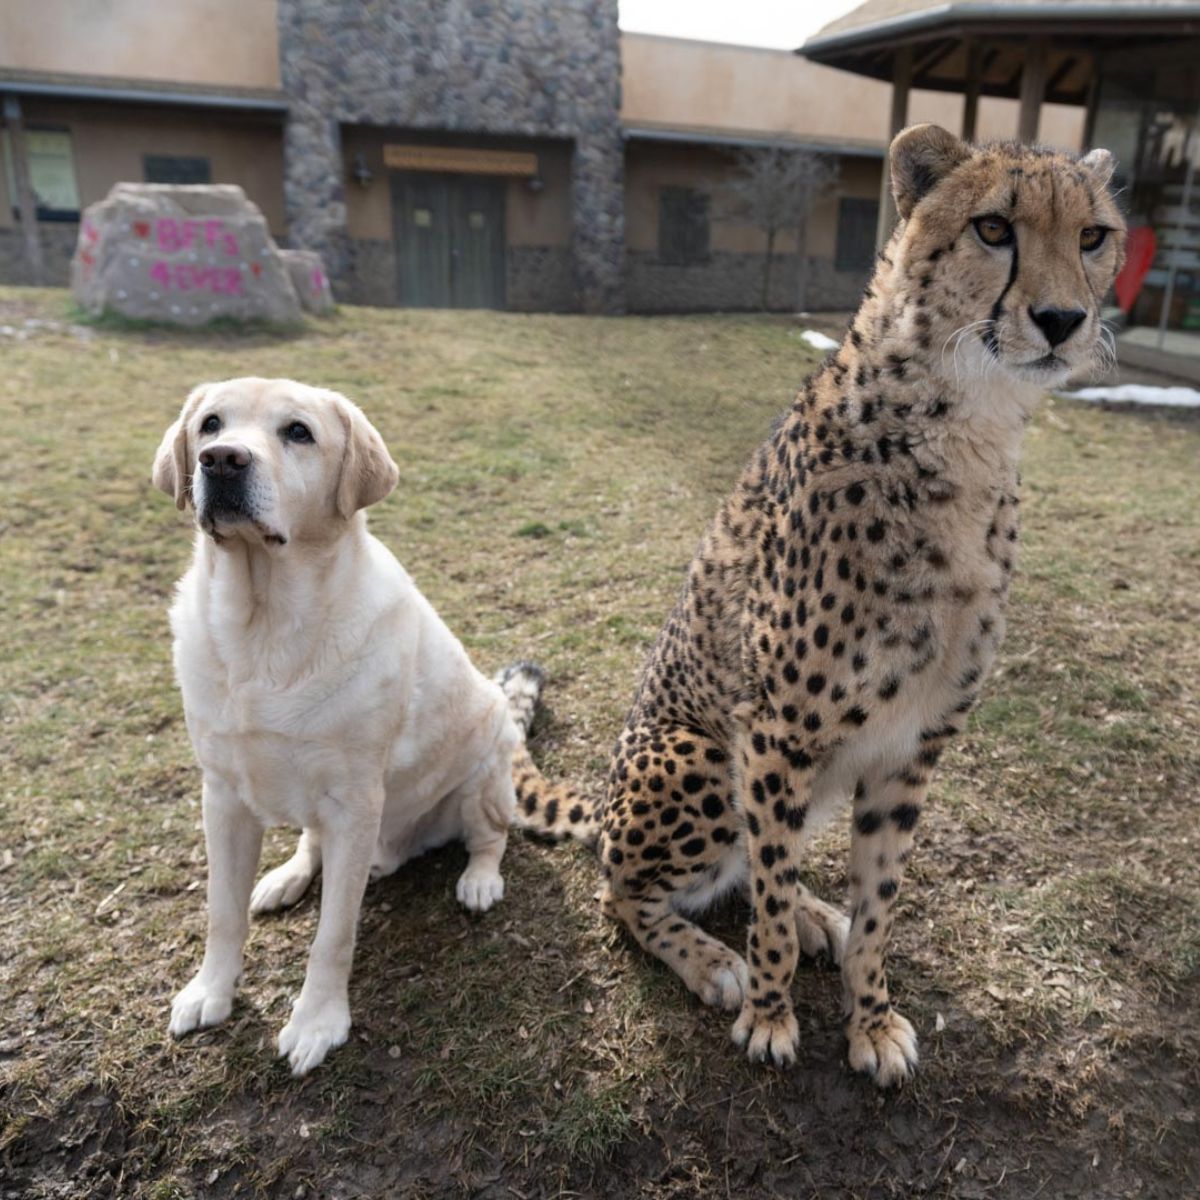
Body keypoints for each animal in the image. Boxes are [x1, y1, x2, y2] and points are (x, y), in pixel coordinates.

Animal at [153, 379, 520, 1075]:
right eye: (210, 425)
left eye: (298, 432)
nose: (222, 461)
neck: (264, 627)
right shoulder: (222, 795)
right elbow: (221, 912)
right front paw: (210, 991)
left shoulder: (355, 802)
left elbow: (333, 935)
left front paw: (317, 1023)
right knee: (309, 845)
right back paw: (286, 878)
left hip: (489, 756)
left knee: (489, 835)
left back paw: (480, 880)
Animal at [506, 129, 1123, 1089]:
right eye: (994, 227)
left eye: (1094, 236)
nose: (1063, 318)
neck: (969, 429)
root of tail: (604, 795)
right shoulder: (776, 734)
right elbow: (761, 905)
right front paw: (768, 1014)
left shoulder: (910, 747)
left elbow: (878, 906)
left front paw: (868, 1019)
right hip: (701, 757)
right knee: (629, 887)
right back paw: (711, 958)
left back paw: (813, 914)